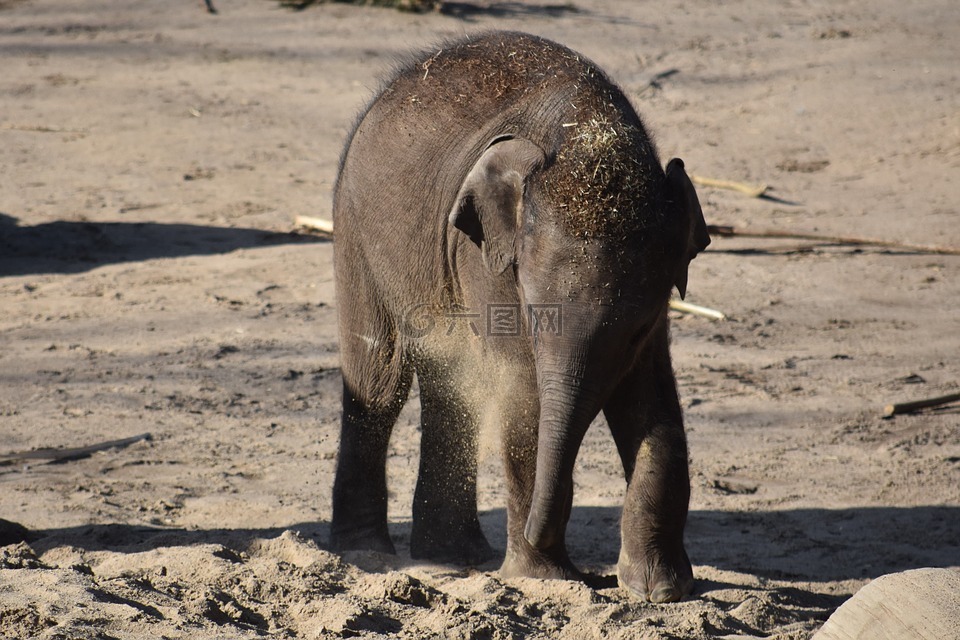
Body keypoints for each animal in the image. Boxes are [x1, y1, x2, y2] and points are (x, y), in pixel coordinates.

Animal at [330, 30, 712, 604]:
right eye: (532, 316)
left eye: (638, 330)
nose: (538, 528)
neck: (587, 133)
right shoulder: (484, 253)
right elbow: (524, 393)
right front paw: (545, 579)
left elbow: (651, 403)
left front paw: (660, 591)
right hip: (356, 230)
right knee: (378, 380)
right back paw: (368, 553)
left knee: (449, 385)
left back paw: (453, 556)